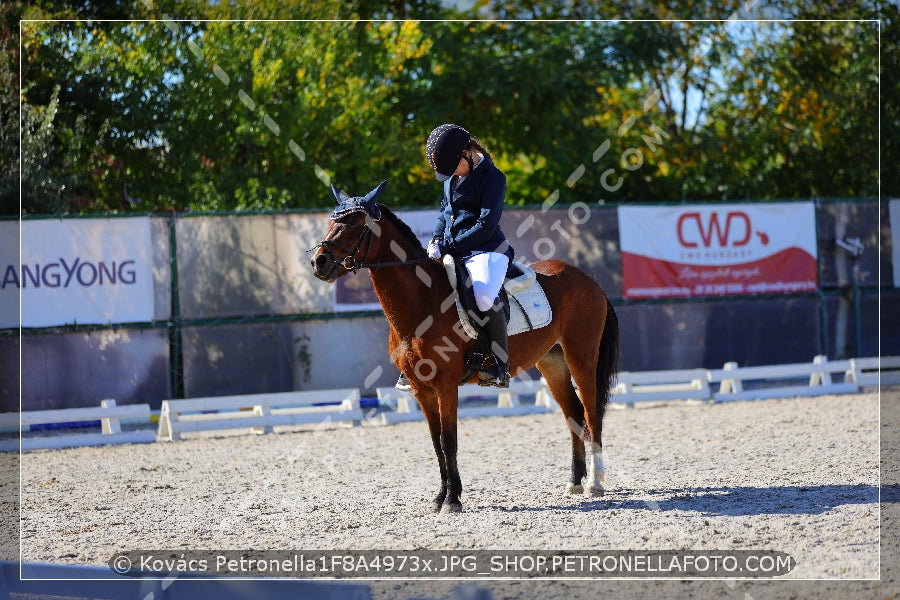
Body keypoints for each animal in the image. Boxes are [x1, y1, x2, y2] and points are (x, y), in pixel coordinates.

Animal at [312, 180, 620, 512]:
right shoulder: (421, 388)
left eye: (356, 224)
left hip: (581, 357)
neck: (421, 302)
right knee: (573, 414)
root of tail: (588, 279)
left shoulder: (446, 383)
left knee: (591, 411)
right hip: (553, 363)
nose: (319, 262)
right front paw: (440, 497)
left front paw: (452, 499)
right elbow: (436, 442)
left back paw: (594, 483)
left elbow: (449, 440)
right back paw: (574, 482)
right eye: (331, 221)